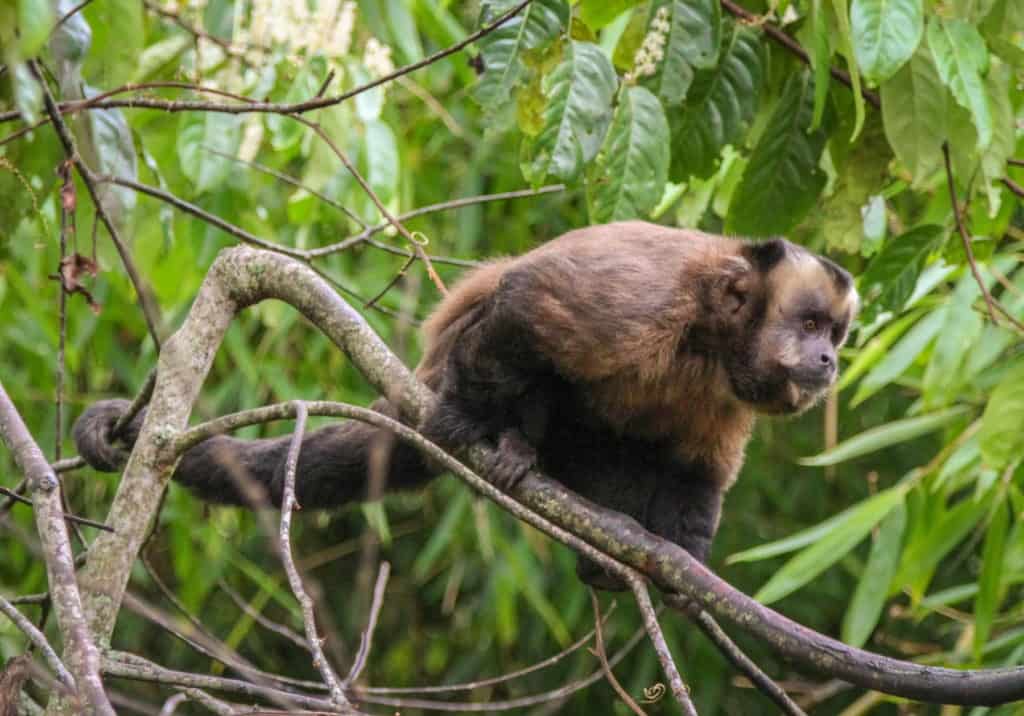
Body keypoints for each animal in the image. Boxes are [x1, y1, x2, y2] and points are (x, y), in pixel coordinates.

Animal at [74, 222, 856, 590]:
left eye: (836, 333)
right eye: (811, 324)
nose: (831, 361)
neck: (707, 336)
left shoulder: (730, 386)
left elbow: (699, 472)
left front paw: (683, 565)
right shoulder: (642, 301)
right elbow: (528, 306)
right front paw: (471, 423)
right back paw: (510, 442)